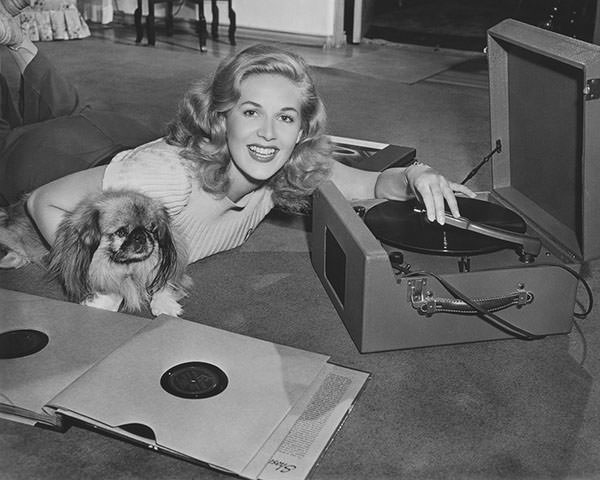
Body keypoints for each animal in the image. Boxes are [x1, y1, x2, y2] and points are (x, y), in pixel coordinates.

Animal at [0, 189, 190, 316]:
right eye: (121, 232)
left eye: (151, 229)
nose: (141, 236)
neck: (129, 267)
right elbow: (114, 288)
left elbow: (162, 283)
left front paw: (165, 306)